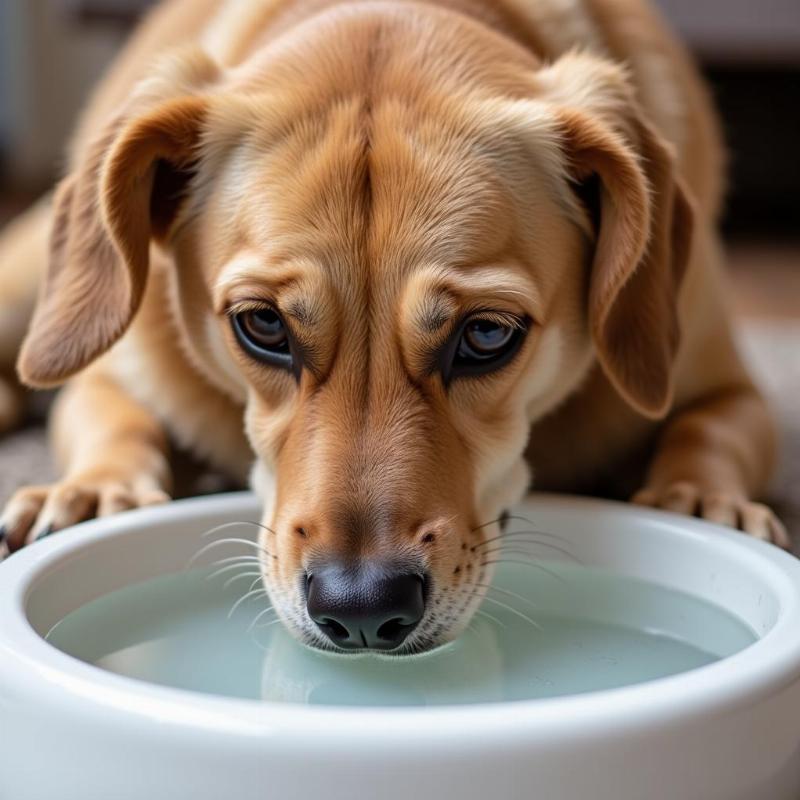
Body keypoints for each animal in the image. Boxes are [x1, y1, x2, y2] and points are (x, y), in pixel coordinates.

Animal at [0, 0, 788, 652]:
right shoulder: (114, 377)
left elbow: (708, 428)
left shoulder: (729, 390)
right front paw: (93, 493)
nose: (360, 608)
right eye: (262, 325)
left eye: (487, 335)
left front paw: (703, 501)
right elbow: (114, 422)